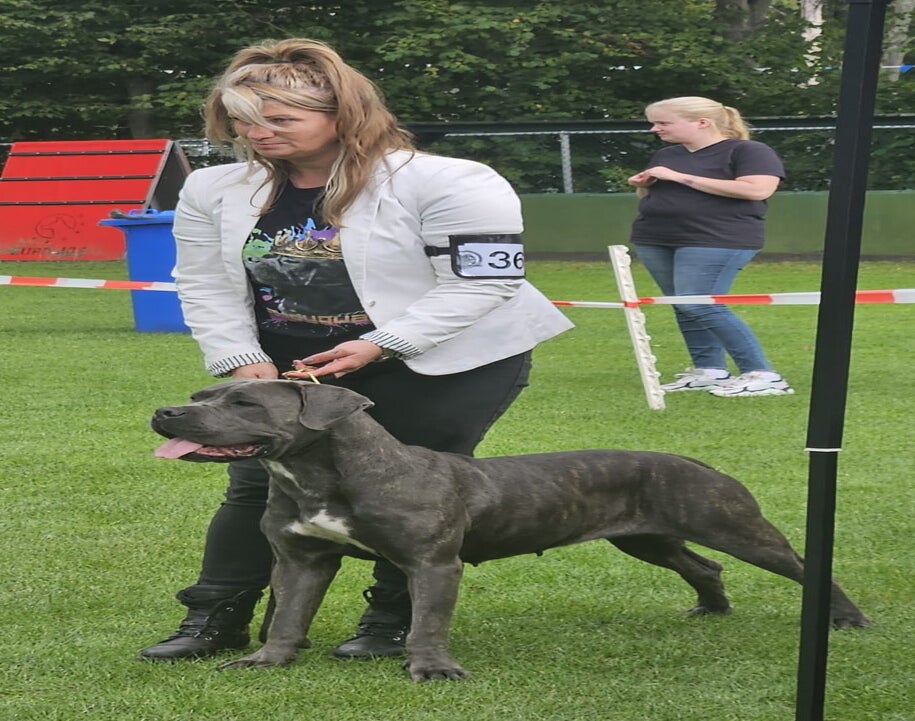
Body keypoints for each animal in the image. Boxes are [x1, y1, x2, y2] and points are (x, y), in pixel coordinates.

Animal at [151, 379, 869, 681]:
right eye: (203, 393)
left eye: (244, 402)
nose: (165, 411)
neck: (317, 473)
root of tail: (694, 461)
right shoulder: (302, 560)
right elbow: (288, 615)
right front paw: (265, 660)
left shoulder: (432, 564)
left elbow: (426, 622)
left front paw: (432, 669)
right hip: (646, 538)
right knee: (702, 566)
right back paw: (710, 608)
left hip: (736, 526)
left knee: (806, 564)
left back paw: (848, 620)